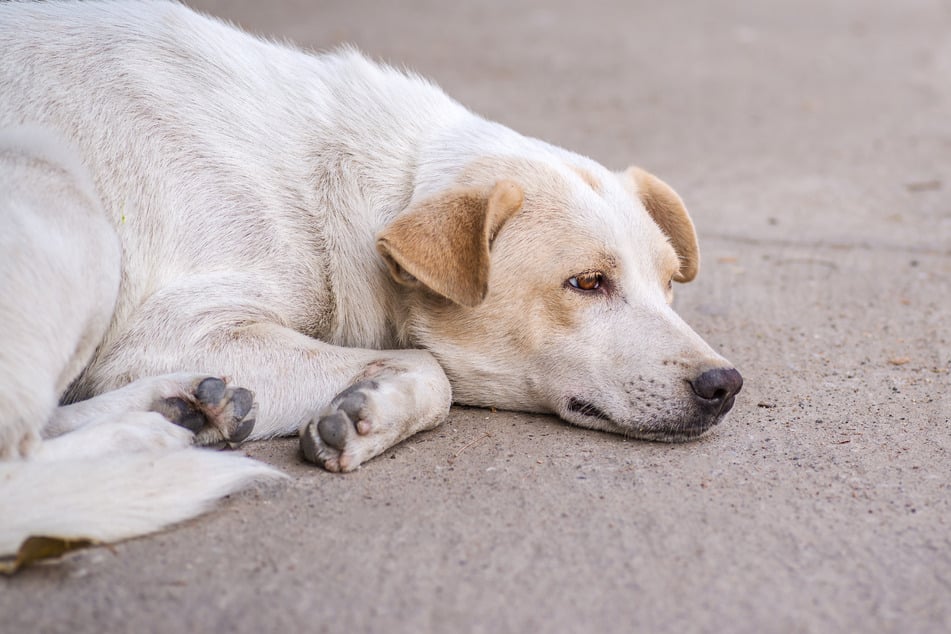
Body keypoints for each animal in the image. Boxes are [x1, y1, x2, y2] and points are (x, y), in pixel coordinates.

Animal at [0, 1, 744, 556]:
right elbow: (433, 372)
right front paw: (374, 406)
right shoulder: (173, 332)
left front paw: (371, 411)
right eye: (587, 283)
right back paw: (143, 441)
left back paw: (175, 408)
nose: (724, 385)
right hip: (56, 176)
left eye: (669, 285)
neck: (338, 196)